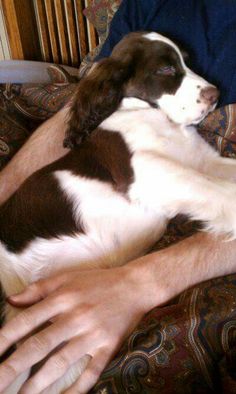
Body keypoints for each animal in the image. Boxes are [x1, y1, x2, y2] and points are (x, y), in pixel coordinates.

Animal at [0, 32, 236, 392]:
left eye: (187, 59)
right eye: (166, 68)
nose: (215, 95)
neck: (156, 119)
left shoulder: (201, 162)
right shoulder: (147, 173)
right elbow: (217, 191)